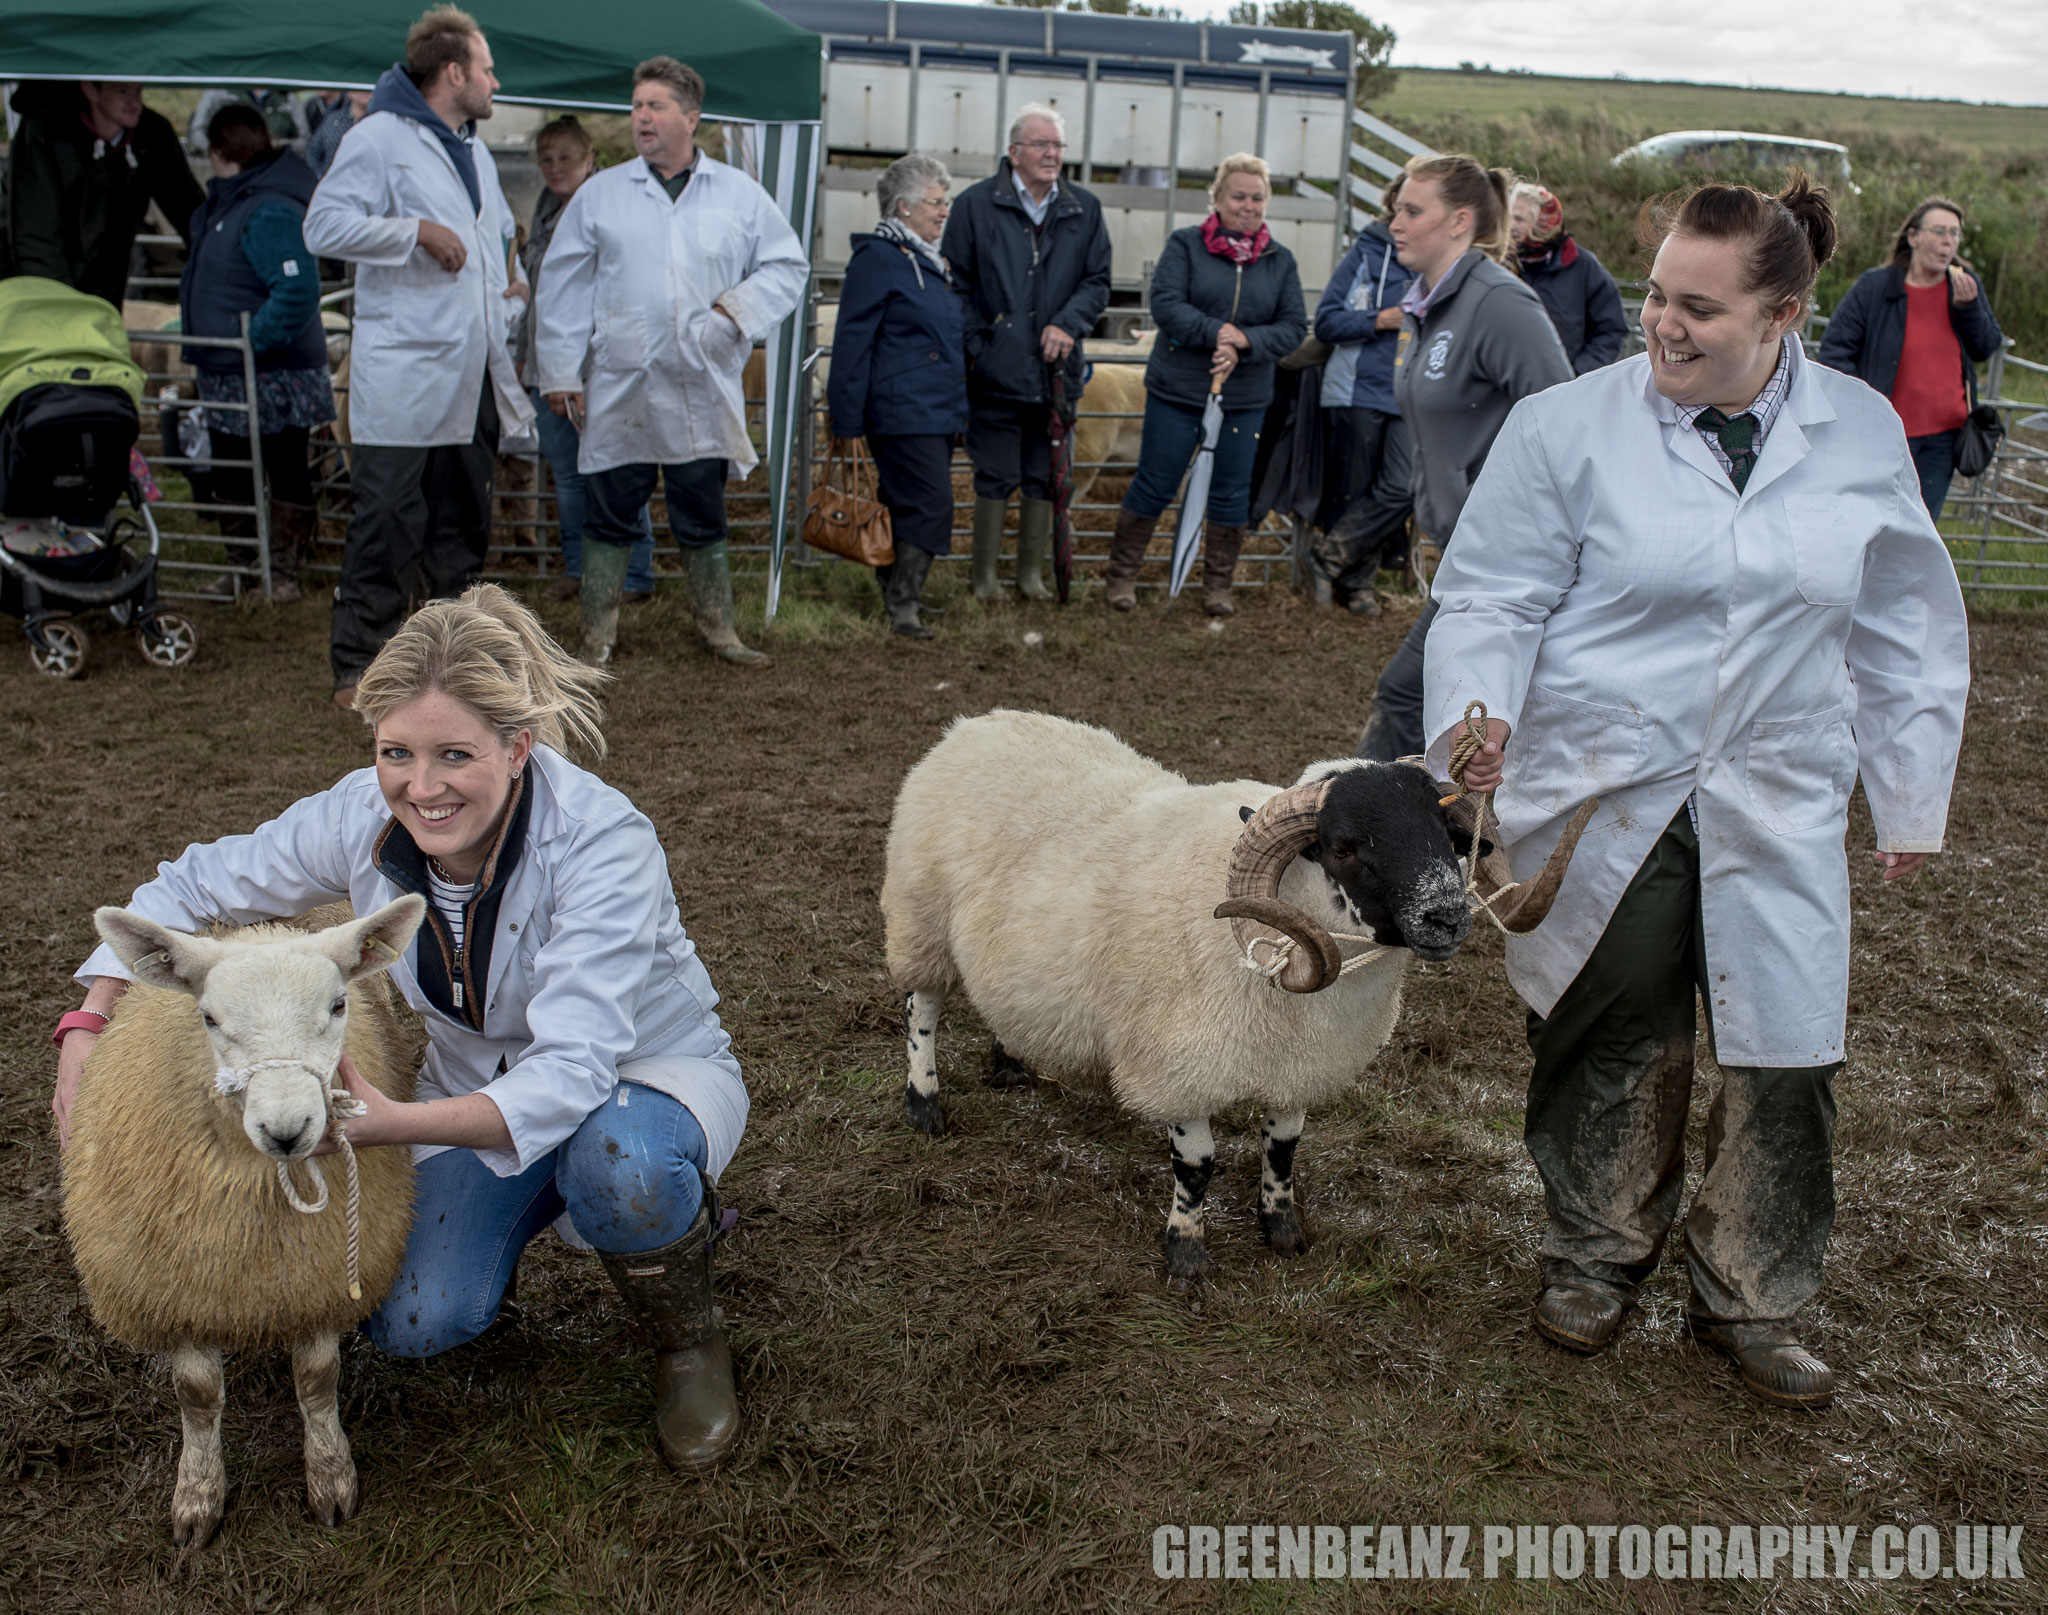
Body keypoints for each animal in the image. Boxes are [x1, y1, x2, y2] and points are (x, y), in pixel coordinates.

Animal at [62, 900, 423, 1547]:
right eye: (207, 1016)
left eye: (339, 1005)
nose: (286, 1130)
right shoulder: (176, 1291)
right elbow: (198, 1396)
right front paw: (199, 1496)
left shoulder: (317, 1279)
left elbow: (317, 1380)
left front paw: (330, 1478)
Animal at [872, 712, 1589, 1277]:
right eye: (1343, 846)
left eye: (1452, 840)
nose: (1446, 918)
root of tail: (973, 724)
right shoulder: (1178, 1066)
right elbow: (1197, 1165)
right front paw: (1186, 1252)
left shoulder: (1298, 1064)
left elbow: (1284, 1149)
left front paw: (1283, 1229)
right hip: (920, 918)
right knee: (921, 1010)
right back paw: (925, 1105)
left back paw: (1010, 1062)